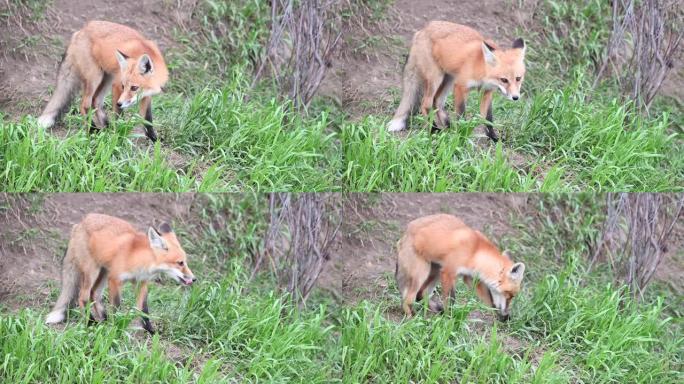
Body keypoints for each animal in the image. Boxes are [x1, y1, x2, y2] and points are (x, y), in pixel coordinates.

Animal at [38, 20, 170, 142]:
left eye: (134, 88)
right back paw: (93, 130)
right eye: (123, 86)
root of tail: (80, 31)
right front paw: (118, 134)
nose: (119, 103)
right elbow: (118, 115)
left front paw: (153, 138)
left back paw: (106, 126)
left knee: (96, 102)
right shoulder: (116, 86)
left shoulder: (146, 96)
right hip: (96, 77)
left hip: (106, 79)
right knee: (84, 104)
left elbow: (147, 119)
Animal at [45, 213, 195, 332]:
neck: (139, 259)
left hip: (103, 272)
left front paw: (150, 331)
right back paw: (91, 322)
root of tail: (79, 223)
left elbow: (144, 310)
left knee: (94, 294)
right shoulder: (115, 280)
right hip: (93, 271)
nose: (194, 279)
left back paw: (104, 320)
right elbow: (117, 306)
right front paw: (116, 326)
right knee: (83, 296)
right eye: (180, 263)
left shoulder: (141, 283)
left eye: (185, 262)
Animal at [388, 21, 528, 141]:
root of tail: (421, 30)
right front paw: (461, 134)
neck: (481, 67)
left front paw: (493, 138)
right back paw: (434, 130)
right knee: (426, 103)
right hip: (436, 78)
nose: (515, 97)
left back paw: (448, 127)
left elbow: (488, 119)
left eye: (518, 78)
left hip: (448, 80)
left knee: (437, 102)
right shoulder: (460, 87)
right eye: (504, 80)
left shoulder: (487, 92)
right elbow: (461, 114)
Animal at [392, 213, 528, 320]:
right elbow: (451, 300)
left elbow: (489, 301)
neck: (474, 252)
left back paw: (434, 309)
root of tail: (404, 234)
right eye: (510, 296)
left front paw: (500, 316)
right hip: (421, 273)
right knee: (409, 299)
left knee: (421, 294)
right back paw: (411, 318)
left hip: (436, 271)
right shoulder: (448, 272)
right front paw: (449, 319)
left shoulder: (471, 278)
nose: (505, 314)